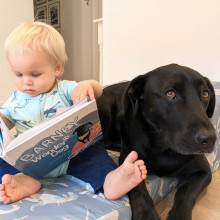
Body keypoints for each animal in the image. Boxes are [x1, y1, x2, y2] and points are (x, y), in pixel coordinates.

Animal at [96, 62, 217, 219]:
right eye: (170, 93)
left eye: (205, 93)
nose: (210, 139)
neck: (164, 149)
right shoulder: (127, 160)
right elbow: (137, 188)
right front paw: (146, 215)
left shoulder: (203, 171)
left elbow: (186, 191)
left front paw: (179, 215)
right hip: (107, 102)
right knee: (104, 142)